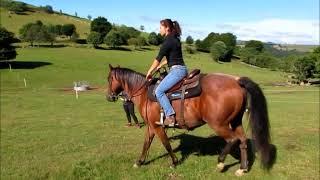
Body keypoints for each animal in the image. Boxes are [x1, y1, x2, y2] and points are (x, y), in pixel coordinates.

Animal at [106, 64, 276, 176]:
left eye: (109, 79)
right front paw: (139, 162)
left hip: (219, 124)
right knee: (242, 141)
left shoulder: (158, 127)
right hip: (235, 122)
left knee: (232, 140)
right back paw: (243, 168)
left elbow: (166, 144)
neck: (144, 93)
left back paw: (221, 162)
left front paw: (174, 162)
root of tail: (237, 81)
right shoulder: (151, 126)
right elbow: (146, 144)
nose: (109, 96)